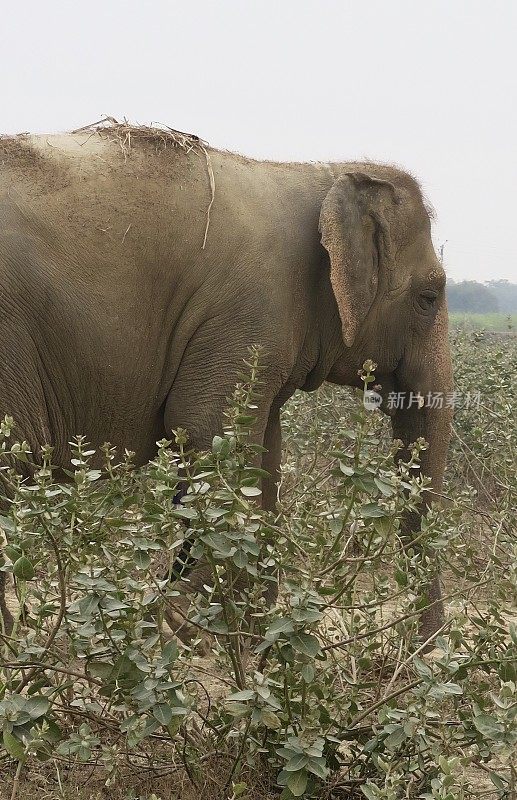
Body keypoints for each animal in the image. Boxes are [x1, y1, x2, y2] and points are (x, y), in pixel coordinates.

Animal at [0, 123, 450, 636]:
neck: (322, 173)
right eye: (429, 296)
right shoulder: (247, 311)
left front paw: (252, 629)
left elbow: (264, 455)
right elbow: (208, 431)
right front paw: (186, 623)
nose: (424, 644)